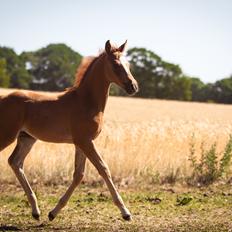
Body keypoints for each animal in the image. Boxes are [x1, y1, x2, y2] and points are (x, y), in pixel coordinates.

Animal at [0, 40, 138, 221]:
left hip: (27, 138)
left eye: (128, 64)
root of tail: (2, 98)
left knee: (15, 162)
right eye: (115, 64)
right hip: (7, 135)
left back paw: (36, 211)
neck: (86, 101)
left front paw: (53, 212)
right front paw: (126, 212)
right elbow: (103, 168)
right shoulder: (85, 141)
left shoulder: (81, 142)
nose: (133, 86)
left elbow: (79, 174)